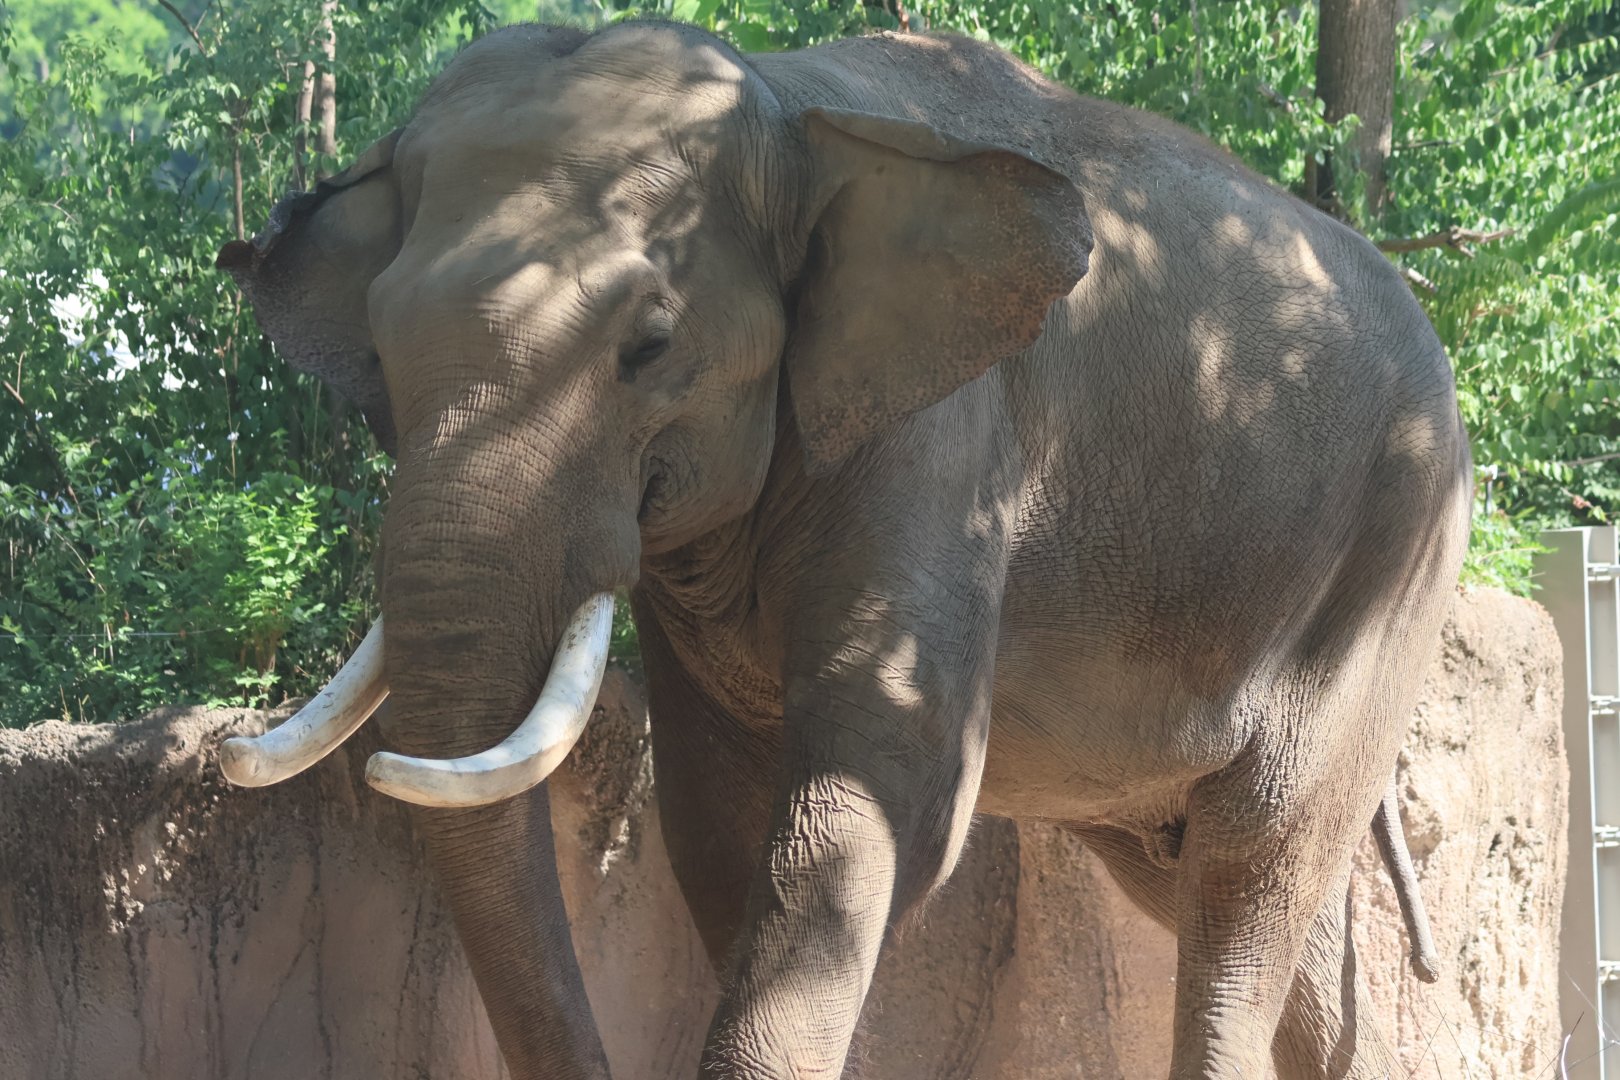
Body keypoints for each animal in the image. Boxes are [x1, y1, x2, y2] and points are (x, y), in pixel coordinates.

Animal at [214, 19, 1470, 1080]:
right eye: (380, 358)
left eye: (649, 345)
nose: (369, 770)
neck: (786, 105)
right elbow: (716, 827)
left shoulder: (945, 442)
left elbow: (873, 800)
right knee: (1236, 897)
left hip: (1387, 576)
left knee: (1248, 878)